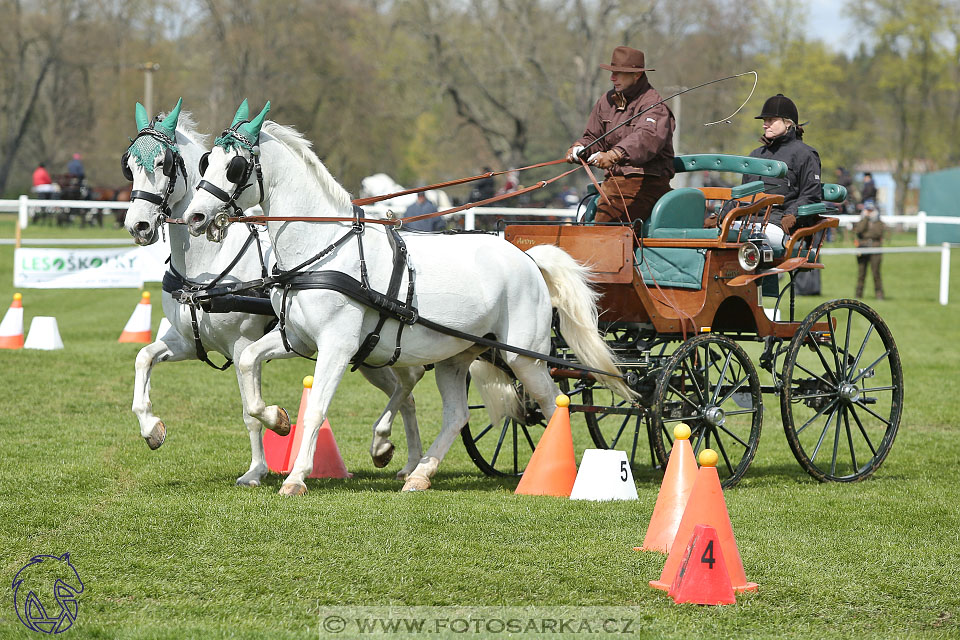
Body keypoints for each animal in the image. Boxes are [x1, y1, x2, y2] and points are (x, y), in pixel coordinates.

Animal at [120, 99, 424, 484]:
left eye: (164, 164)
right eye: (129, 166)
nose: (138, 225)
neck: (207, 265)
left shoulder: (241, 344)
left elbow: (250, 412)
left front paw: (259, 463)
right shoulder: (188, 341)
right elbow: (143, 358)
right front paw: (151, 429)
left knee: (409, 382)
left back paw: (394, 450)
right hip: (367, 352)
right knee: (407, 390)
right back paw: (403, 458)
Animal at [182, 102, 632, 498]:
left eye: (235, 166)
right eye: (206, 161)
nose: (195, 217)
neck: (324, 248)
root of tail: (527, 258)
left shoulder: (337, 346)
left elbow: (317, 408)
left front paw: (296, 478)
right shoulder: (295, 339)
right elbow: (247, 361)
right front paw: (276, 419)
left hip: (525, 357)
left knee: (551, 403)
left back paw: (552, 475)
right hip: (456, 357)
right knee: (458, 415)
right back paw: (420, 474)